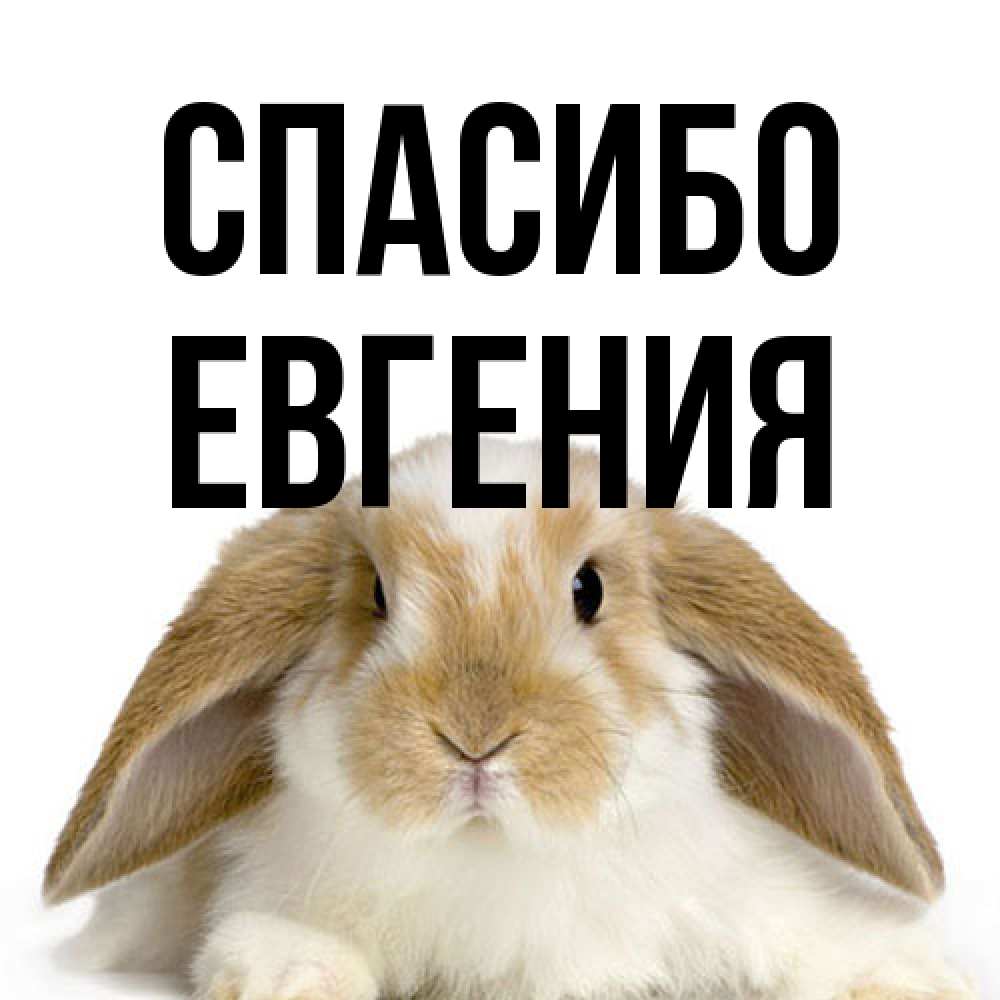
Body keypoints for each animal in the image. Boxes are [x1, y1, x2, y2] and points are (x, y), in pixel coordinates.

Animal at [45, 436, 975, 1000]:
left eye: (589, 589)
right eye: (376, 596)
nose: (475, 737)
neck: (496, 857)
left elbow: (816, 939)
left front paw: (910, 977)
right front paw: (290, 976)